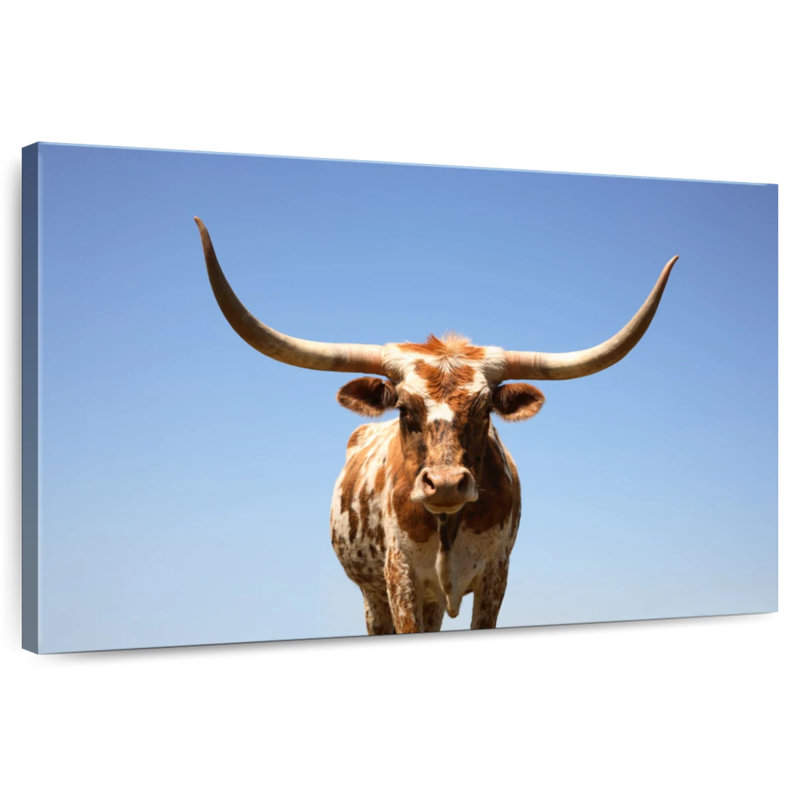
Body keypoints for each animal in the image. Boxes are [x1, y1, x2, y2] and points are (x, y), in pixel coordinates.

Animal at [194, 217, 678, 634]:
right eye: (405, 409)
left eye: (484, 410)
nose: (445, 484)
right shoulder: (400, 577)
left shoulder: (494, 576)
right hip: (374, 596)